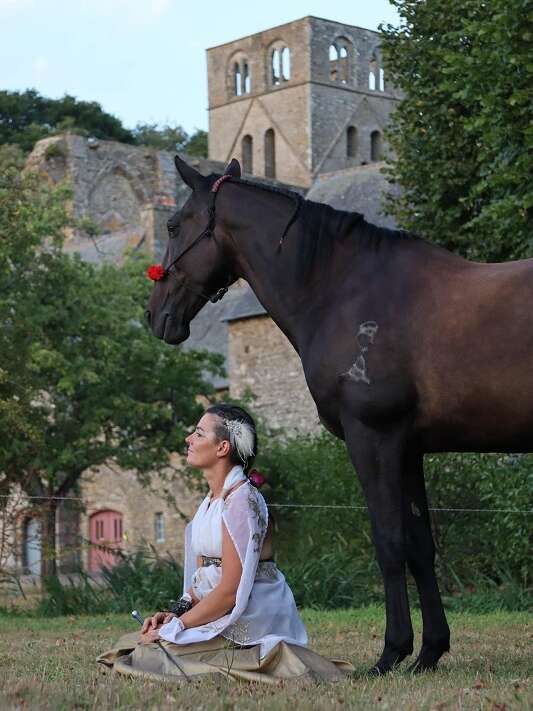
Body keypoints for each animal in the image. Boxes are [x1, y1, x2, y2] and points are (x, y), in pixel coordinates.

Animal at [147, 156, 532, 672]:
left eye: (173, 224)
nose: (155, 316)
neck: (343, 291)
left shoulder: (374, 438)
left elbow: (390, 543)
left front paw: (391, 653)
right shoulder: (408, 449)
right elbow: (421, 546)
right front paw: (429, 651)